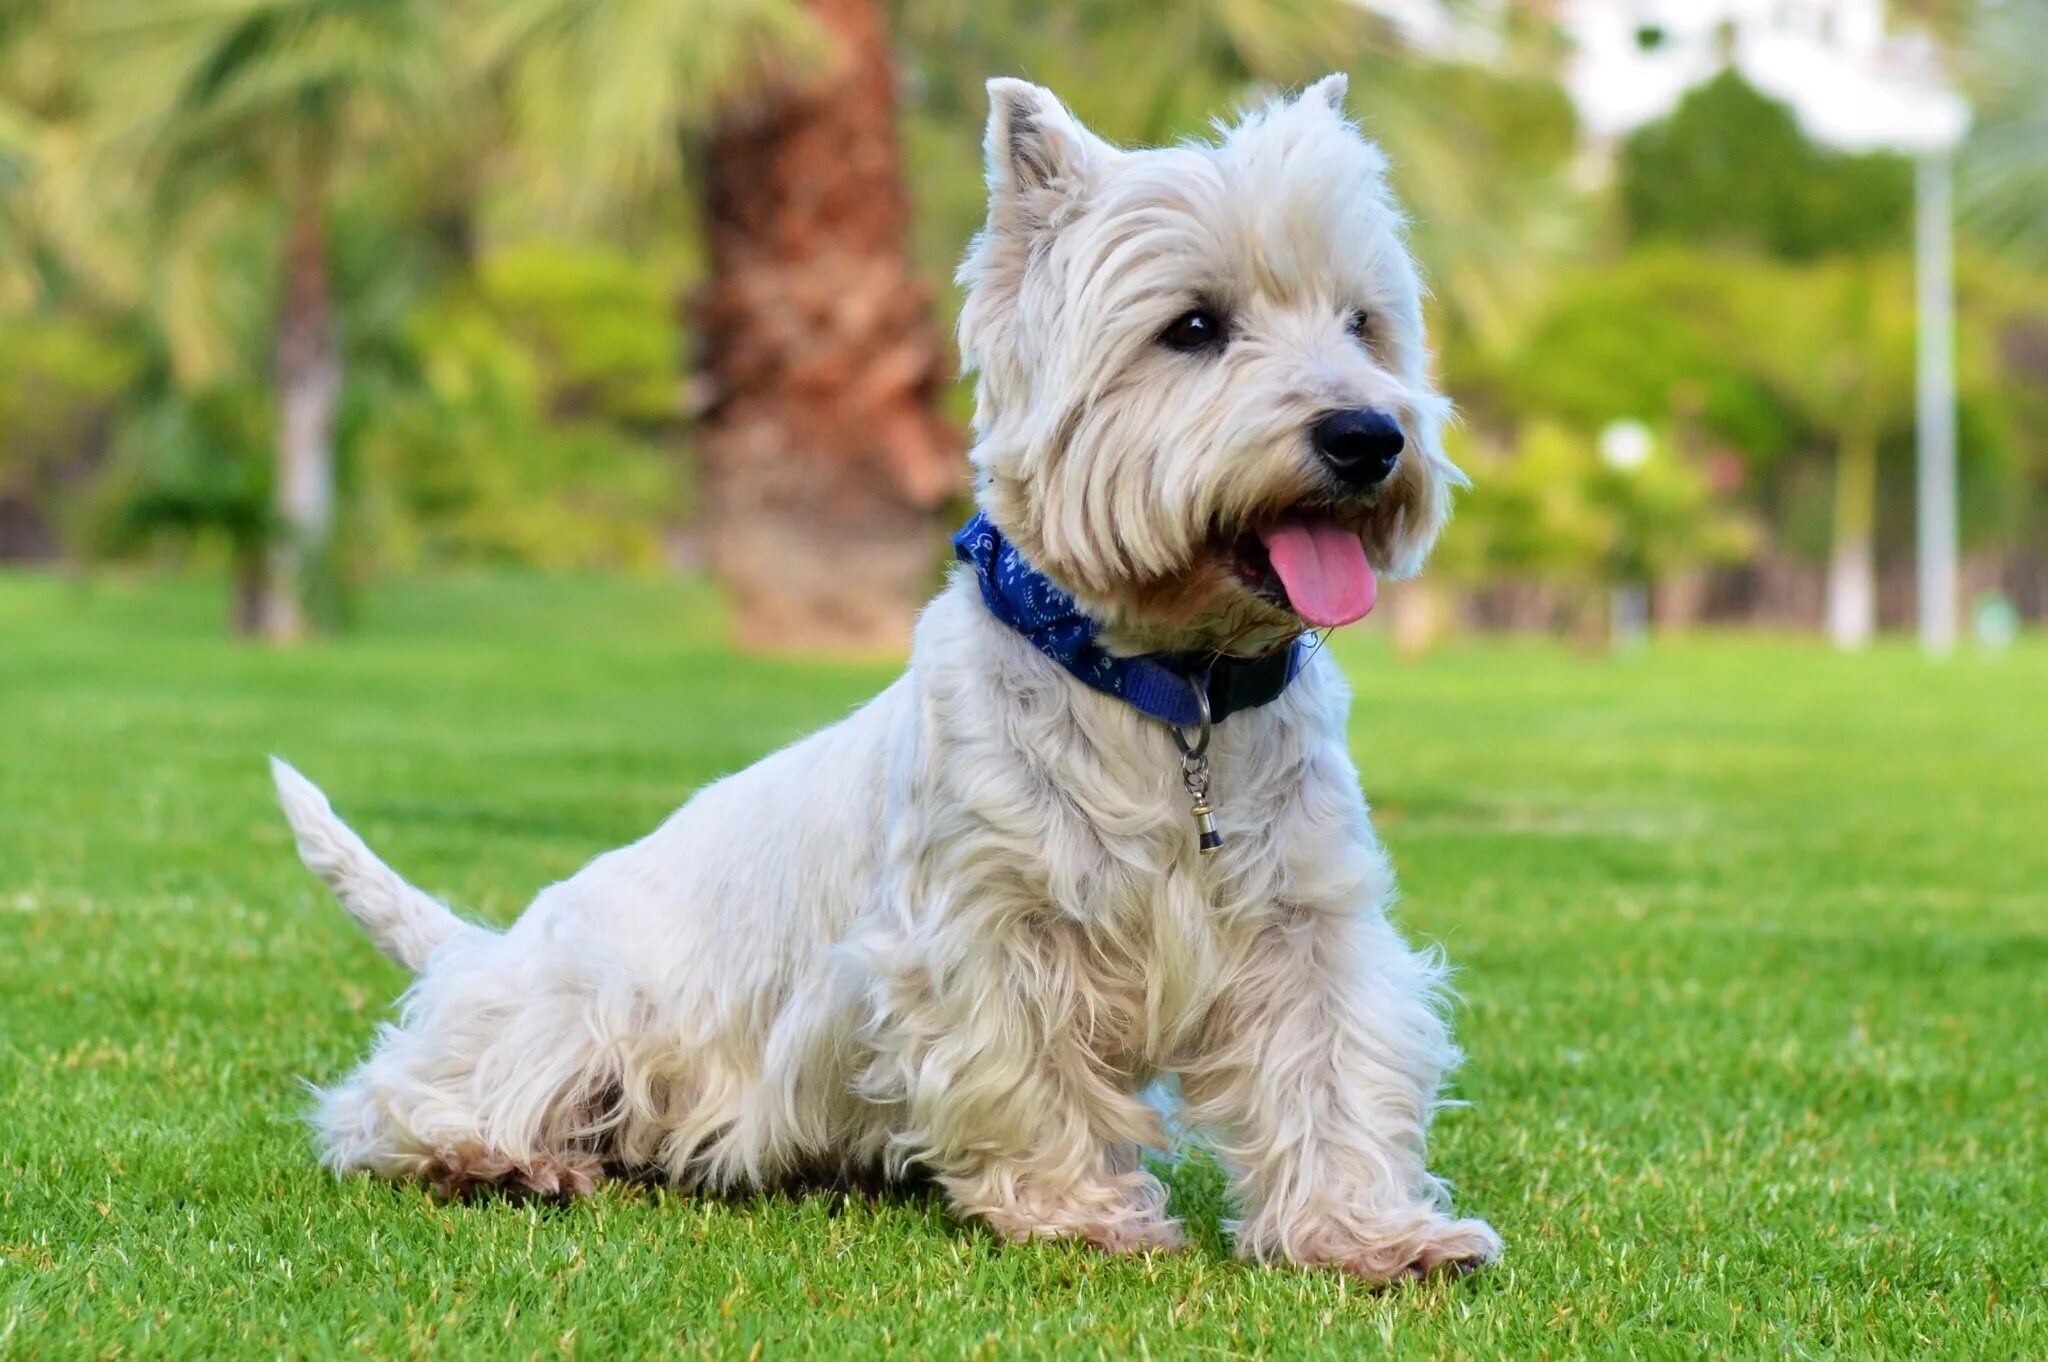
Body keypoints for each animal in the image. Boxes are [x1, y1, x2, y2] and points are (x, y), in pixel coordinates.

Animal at [272, 76, 1499, 1286]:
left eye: (1362, 322)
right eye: (1193, 327)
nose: (1368, 435)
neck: (1172, 694)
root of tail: (482, 950)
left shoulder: (1306, 918)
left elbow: (1333, 1069)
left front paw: (1371, 1233)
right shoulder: (983, 925)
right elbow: (1030, 1075)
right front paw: (1079, 1215)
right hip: (575, 1008)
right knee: (391, 1099)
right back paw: (495, 1158)